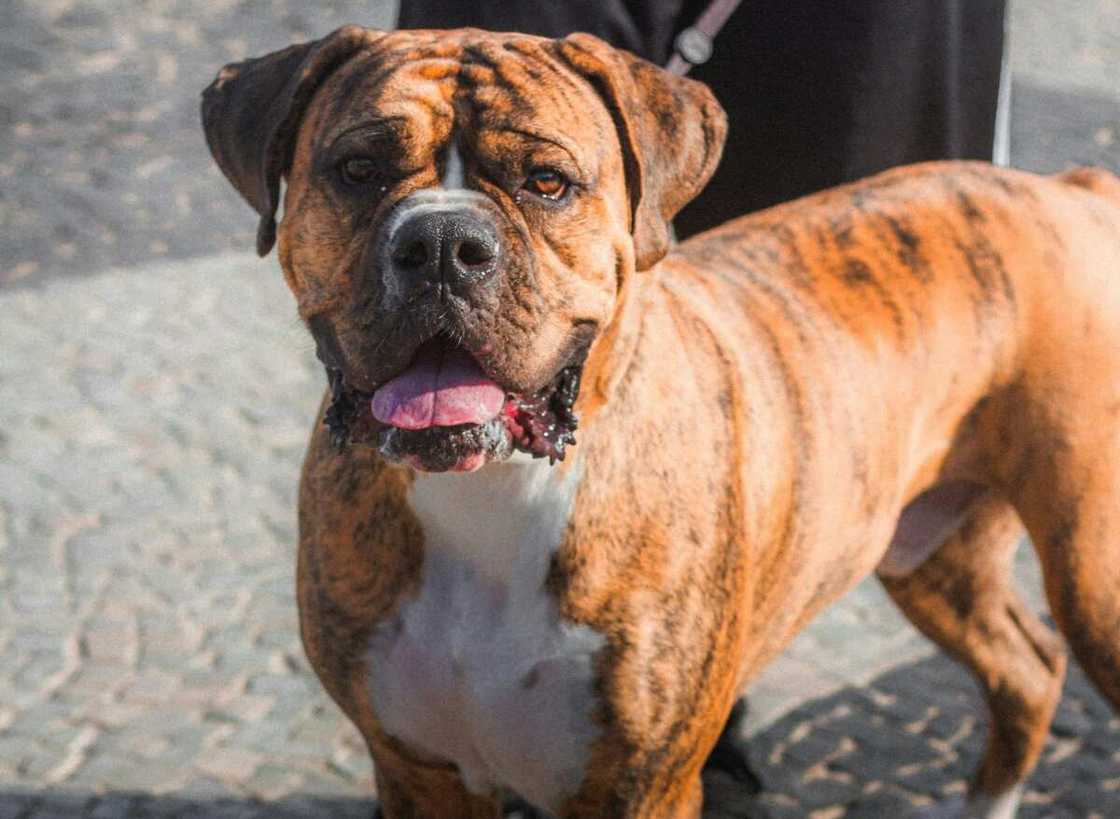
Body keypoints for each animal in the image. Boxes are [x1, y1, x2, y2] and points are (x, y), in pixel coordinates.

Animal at [201, 25, 1120, 819]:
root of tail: (1063, 189)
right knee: (1027, 666)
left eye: (547, 182)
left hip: (1089, 577)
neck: (496, 489)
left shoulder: (642, 785)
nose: (441, 241)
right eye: (357, 169)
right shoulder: (419, 774)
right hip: (928, 550)